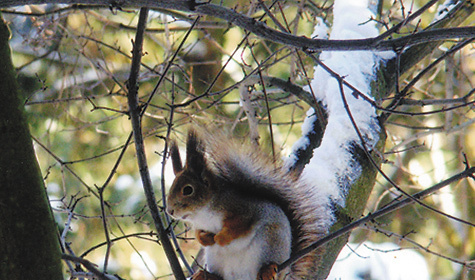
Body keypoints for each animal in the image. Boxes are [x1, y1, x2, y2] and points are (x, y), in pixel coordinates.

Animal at [166, 130, 328, 280]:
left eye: (188, 190)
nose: (169, 211)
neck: (203, 213)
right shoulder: (202, 225)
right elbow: (199, 233)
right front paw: (205, 239)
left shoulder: (243, 210)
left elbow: (238, 226)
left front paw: (220, 238)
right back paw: (206, 275)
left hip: (270, 243)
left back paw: (268, 269)